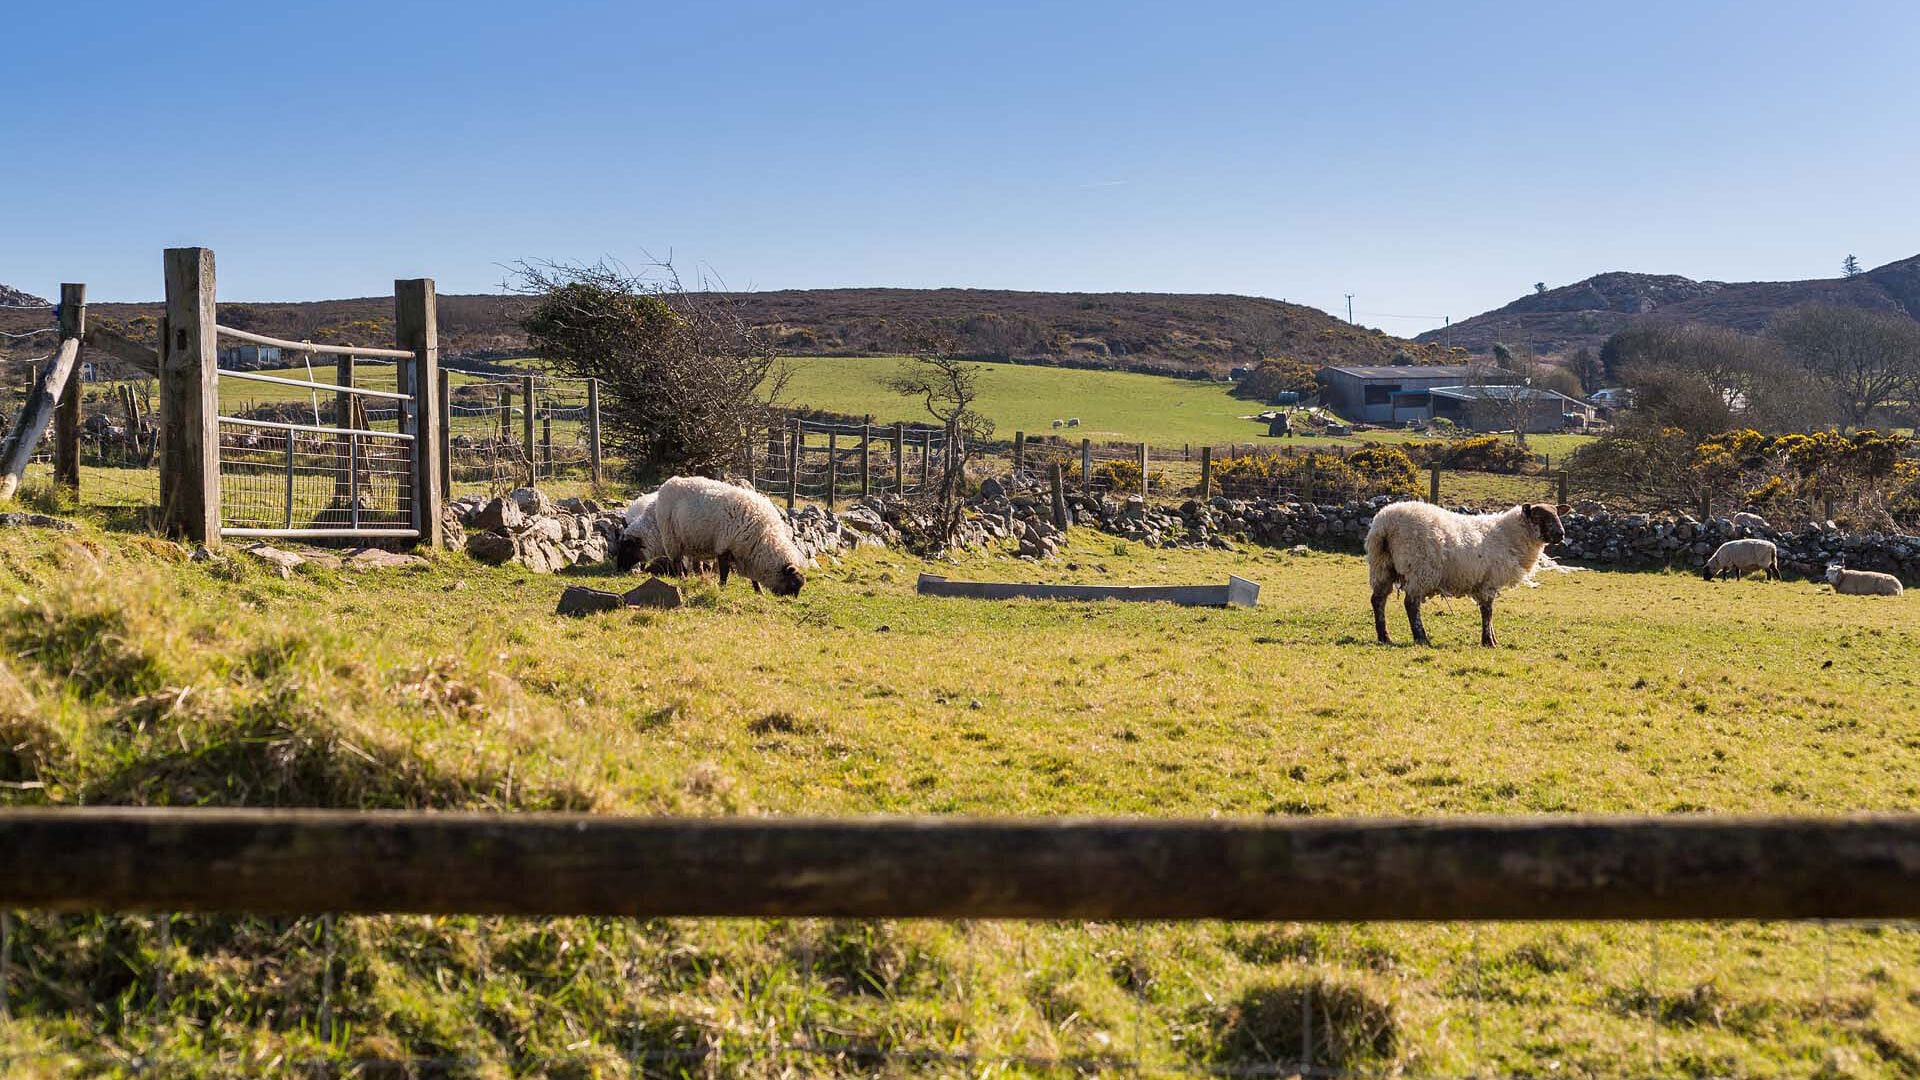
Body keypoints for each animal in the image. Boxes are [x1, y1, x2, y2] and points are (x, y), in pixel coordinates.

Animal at [652, 474, 802, 591]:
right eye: (793, 583)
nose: (788, 599)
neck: (764, 537)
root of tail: (669, 482)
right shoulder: (725, 546)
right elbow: (725, 571)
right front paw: (722, 587)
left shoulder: (745, 554)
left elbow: (752, 578)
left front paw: (759, 591)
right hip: (671, 538)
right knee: (676, 561)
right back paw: (682, 578)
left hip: (693, 541)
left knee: (695, 563)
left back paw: (701, 577)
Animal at [1359, 499, 1566, 641]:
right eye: (1539, 517)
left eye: (1557, 514)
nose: (1561, 534)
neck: (1508, 535)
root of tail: (1385, 524)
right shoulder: (1489, 581)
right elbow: (1488, 611)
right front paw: (1488, 641)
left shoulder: (1484, 583)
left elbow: (1487, 611)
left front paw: (1492, 639)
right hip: (1419, 569)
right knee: (1411, 604)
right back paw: (1421, 638)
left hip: (1382, 566)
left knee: (1378, 600)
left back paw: (1384, 637)